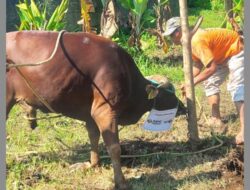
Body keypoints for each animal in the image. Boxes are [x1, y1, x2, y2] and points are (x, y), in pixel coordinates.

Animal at [6, 30, 186, 189]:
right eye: (170, 93)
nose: (183, 107)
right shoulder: (105, 111)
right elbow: (114, 147)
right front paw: (121, 182)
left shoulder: (90, 114)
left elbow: (93, 137)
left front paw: (93, 164)